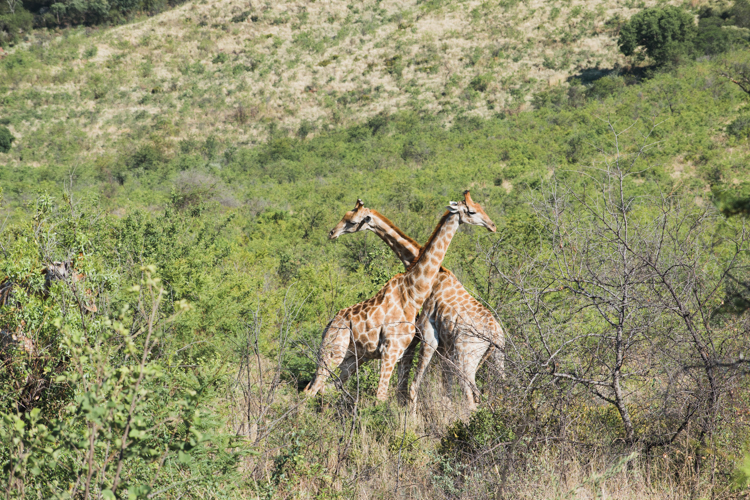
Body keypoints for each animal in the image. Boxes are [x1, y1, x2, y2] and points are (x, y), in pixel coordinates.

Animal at [304, 189, 506, 412]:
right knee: (315, 389)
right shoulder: (407, 347)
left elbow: (404, 391)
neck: (414, 289)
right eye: (472, 210)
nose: (332, 233)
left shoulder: (412, 346)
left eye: (352, 220)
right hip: (338, 352)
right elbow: (399, 393)